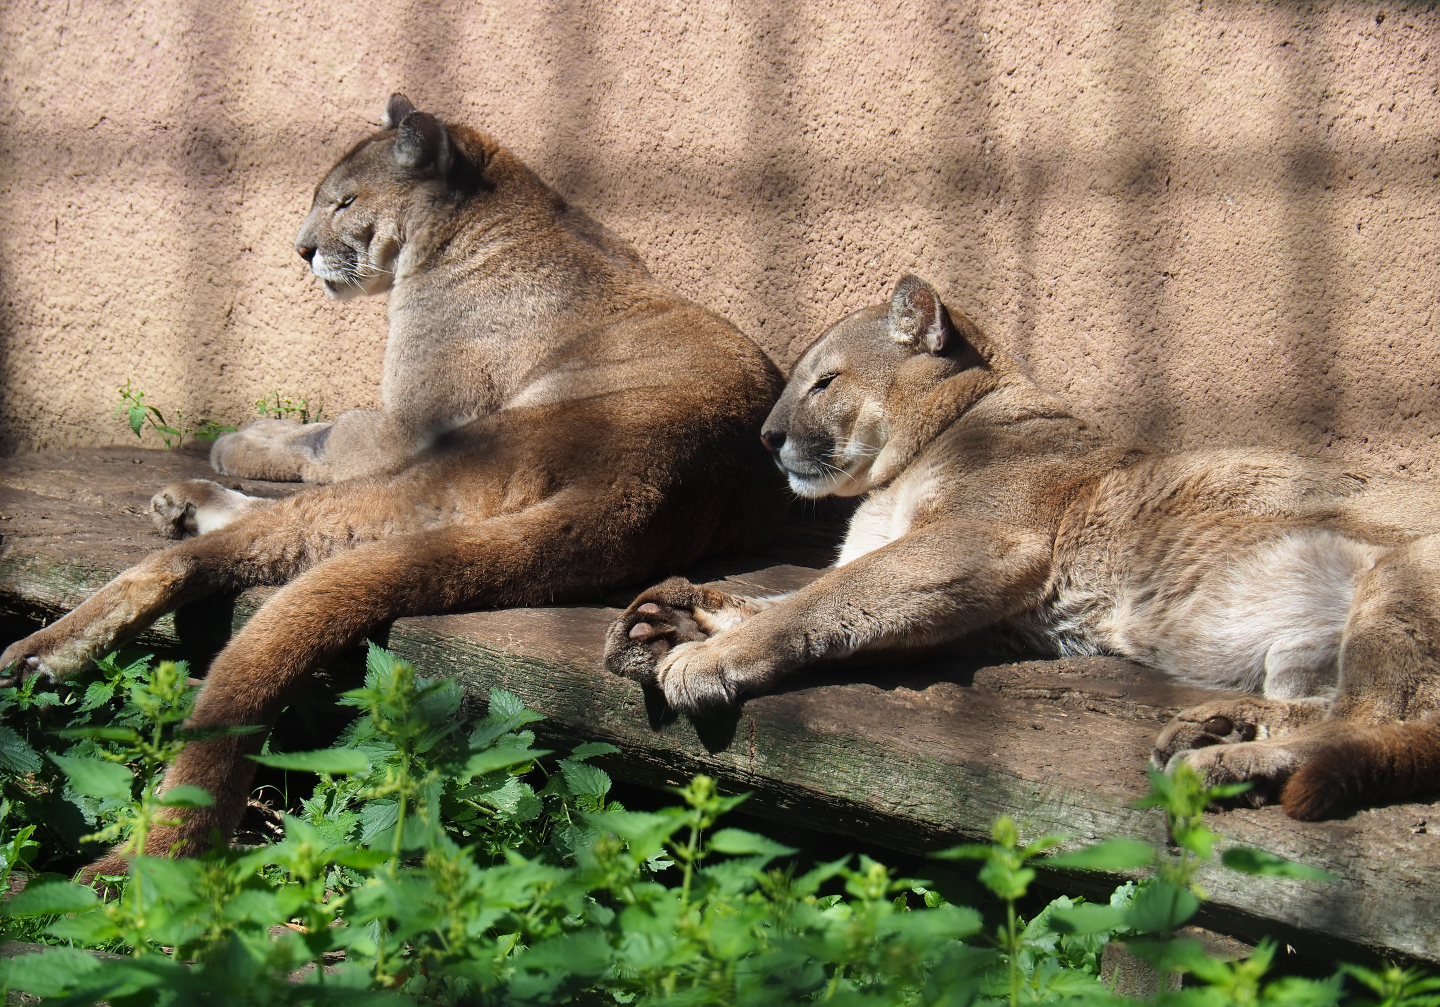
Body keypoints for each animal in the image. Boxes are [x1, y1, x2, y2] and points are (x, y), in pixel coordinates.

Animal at [0, 94, 786, 869]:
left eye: (344, 201)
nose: (300, 250)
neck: (497, 209)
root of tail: (651, 483)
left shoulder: (411, 425)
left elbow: (325, 432)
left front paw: (238, 440)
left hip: (442, 466)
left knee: (239, 548)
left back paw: (50, 645)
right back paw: (181, 510)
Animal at [607, 273, 1440, 820]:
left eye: (822, 382)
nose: (767, 437)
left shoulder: (979, 543)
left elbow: (820, 599)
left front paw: (706, 657)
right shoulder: (988, 606)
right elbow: (799, 595)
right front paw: (673, 616)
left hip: (1403, 578)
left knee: (1380, 719)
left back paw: (1223, 759)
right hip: (1302, 650)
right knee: (1348, 710)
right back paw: (1217, 729)